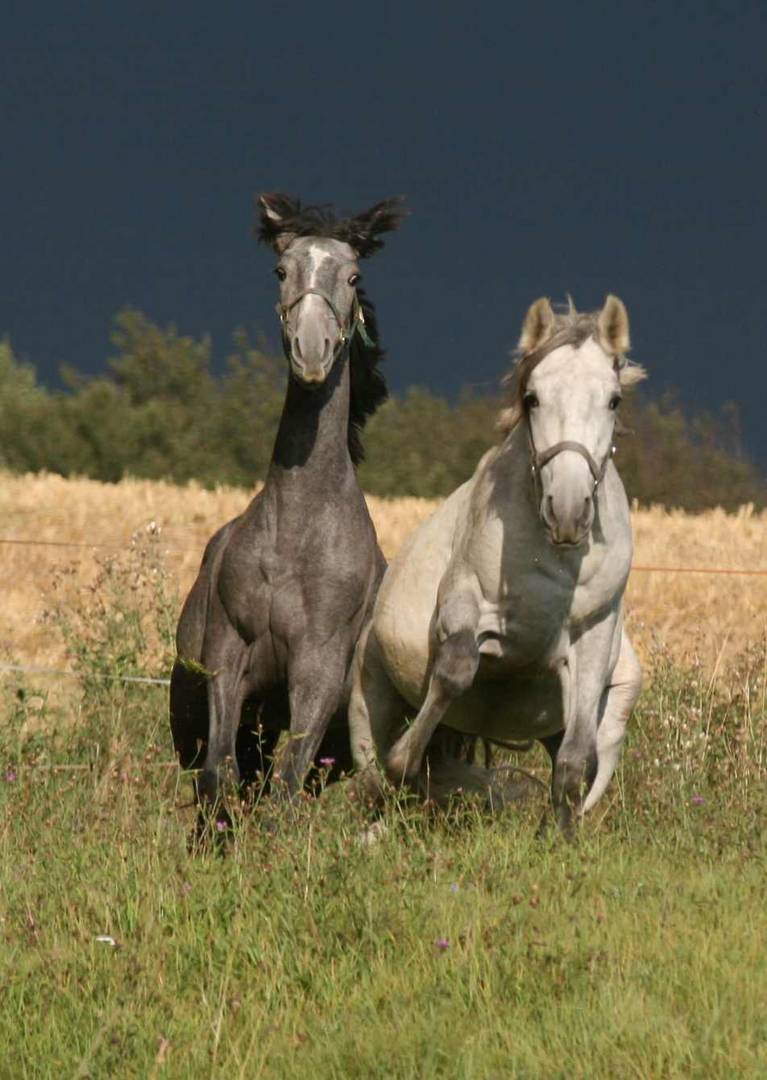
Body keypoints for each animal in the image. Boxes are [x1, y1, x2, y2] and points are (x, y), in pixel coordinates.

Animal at [170, 194, 406, 816]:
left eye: (353, 276)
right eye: (281, 271)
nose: (311, 351)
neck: (298, 535)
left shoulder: (318, 674)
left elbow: (284, 789)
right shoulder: (230, 657)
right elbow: (220, 775)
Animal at [352, 291, 643, 829]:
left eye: (613, 400)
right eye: (533, 398)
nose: (568, 513)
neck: (555, 559)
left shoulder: (594, 637)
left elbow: (575, 761)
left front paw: (562, 836)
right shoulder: (466, 600)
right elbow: (456, 668)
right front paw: (406, 761)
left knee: (591, 760)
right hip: (370, 695)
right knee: (371, 774)